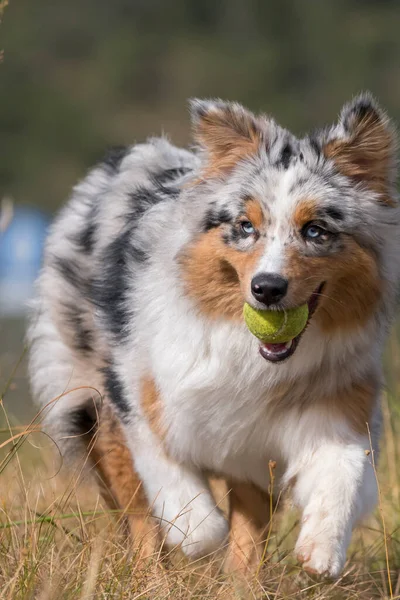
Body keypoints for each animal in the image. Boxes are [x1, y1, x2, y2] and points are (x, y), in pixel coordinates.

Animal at [28, 94, 400, 576]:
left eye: (315, 230)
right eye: (245, 226)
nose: (267, 288)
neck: (250, 355)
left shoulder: (334, 407)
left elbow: (343, 474)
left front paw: (322, 549)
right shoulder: (141, 394)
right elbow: (180, 498)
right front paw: (196, 537)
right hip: (88, 394)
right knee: (138, 514)